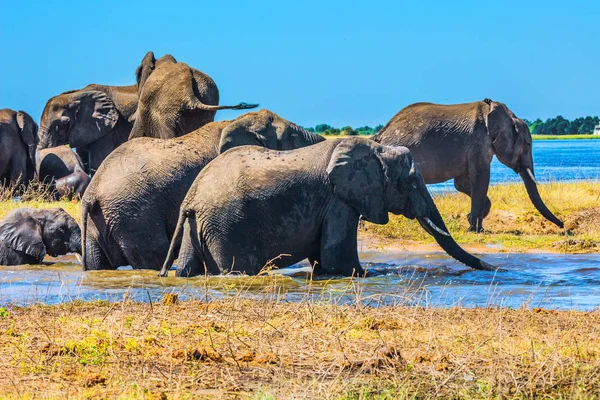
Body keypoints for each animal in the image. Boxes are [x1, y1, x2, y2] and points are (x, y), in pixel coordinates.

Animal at [81, 109, 324, 272]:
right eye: (292, 137)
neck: (238, 120)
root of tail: (92, 193)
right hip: (133, 214)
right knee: (153, 255)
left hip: (100, 222)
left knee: (97, 263)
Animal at [161, 138, 496, 278]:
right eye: (411, 183)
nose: (498, 269)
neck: (376, 149)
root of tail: (191, 198)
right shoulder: (338, 200)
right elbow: (337, 259)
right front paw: (366, 274)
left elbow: (325, 259)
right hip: (229, 224)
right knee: (238, 268)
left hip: (199, 224)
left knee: (188, 268)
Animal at [372, 98, 564, 233]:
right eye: (528, 145)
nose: (563, 226)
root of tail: (379, 134)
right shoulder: (478, 141)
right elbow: (481, 178)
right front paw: (475, 229)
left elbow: (462, 184)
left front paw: (471, 220)